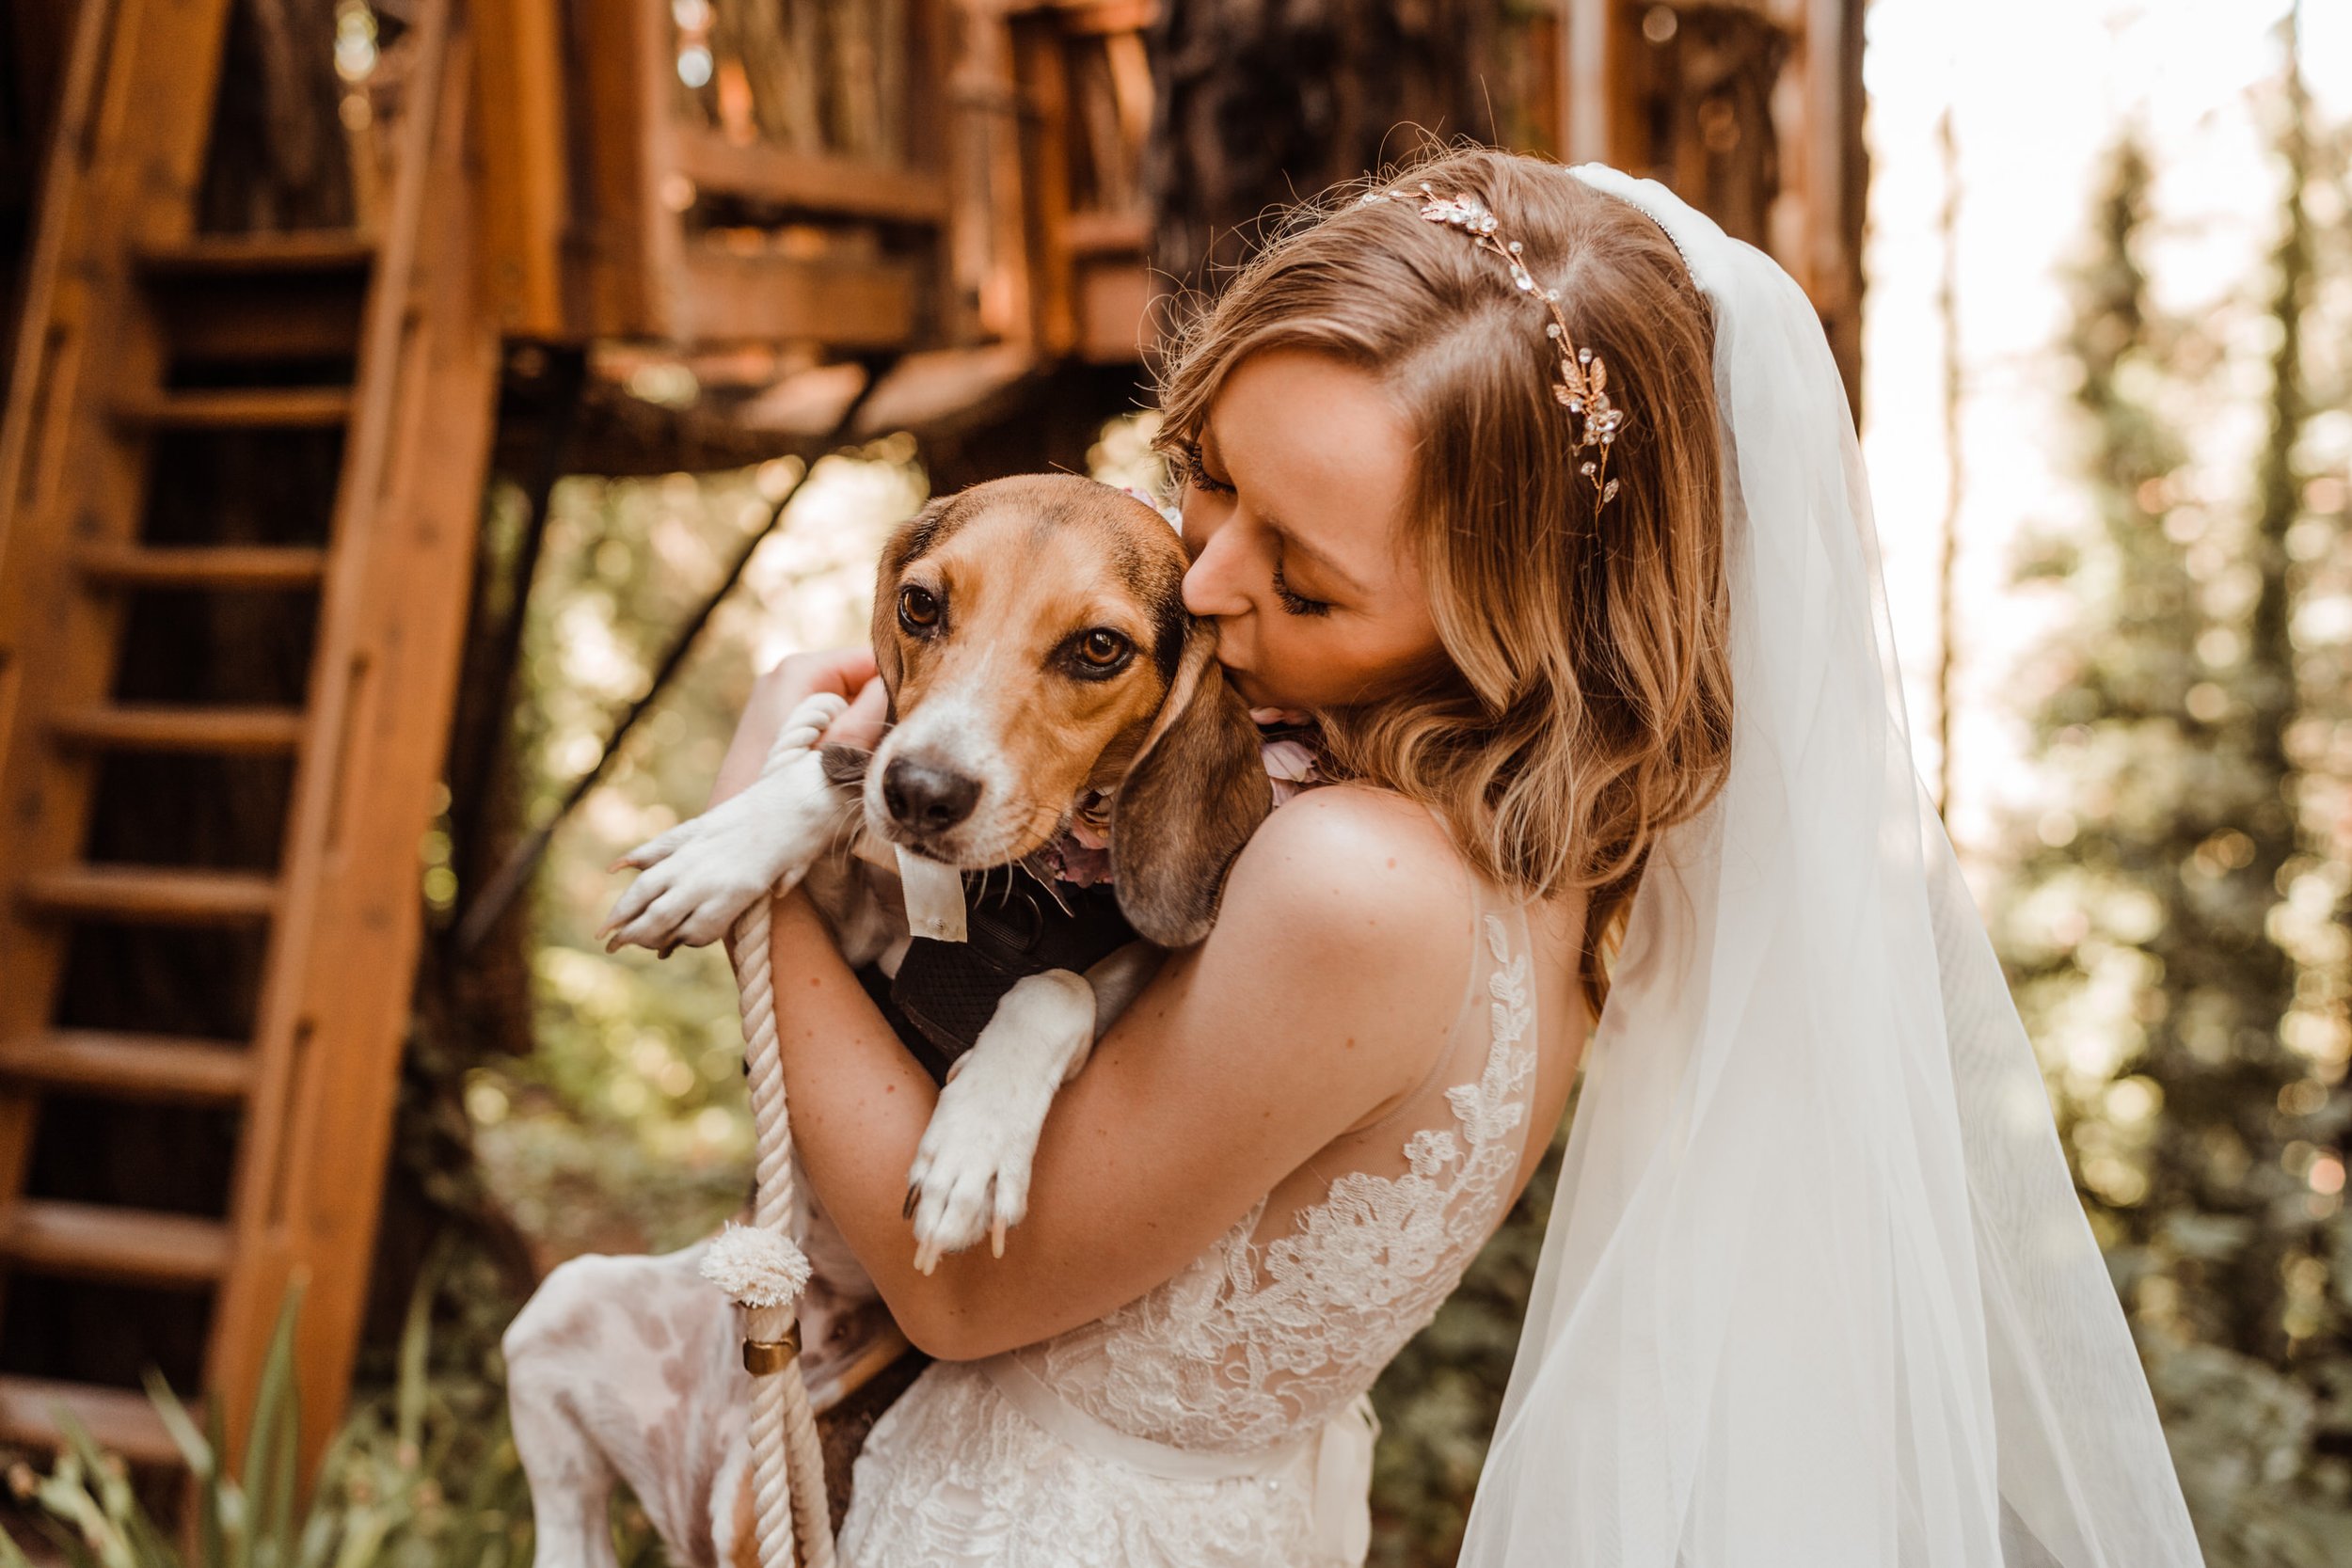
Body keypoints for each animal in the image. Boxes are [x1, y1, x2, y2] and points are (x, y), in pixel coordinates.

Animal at [505, 479, 1279, 1568]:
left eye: (1098, 647)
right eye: (920, 604)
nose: (921, 790)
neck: (1014, 894)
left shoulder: (1132, 966)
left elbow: (1057, 990)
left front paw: (975, 1144)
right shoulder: (851, 916)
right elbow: (830, 772)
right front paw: (728, 846)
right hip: (557, 1309)